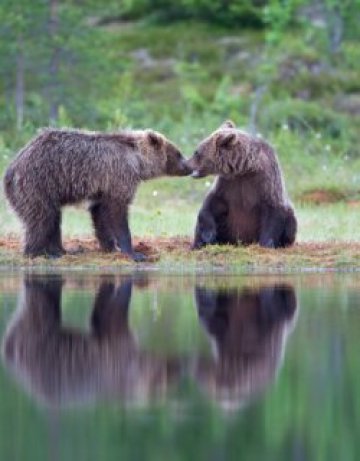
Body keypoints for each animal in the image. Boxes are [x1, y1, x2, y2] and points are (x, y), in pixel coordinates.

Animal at [3, 127, 191, 260]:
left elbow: (99, 213)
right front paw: (135, 253)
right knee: (41, 218)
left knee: (54, 217)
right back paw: (39, 253)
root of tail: (10, 170)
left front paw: (110, 247)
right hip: (38, 184)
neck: (137, 162)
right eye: (178, 153)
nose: (189, 166)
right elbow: (117, 211)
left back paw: (63, 251)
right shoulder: (119, 176)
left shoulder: (103, 187)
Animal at [187, 119, 296, 248]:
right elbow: (212, 203)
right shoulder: (228, 184)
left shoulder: (266, 180)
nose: (186, 164)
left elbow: (273, 209)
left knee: (290, 219)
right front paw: (208, 236)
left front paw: (266, 243)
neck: (245, 168)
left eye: (196, 152)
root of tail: (241, 242)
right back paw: (198, 244)